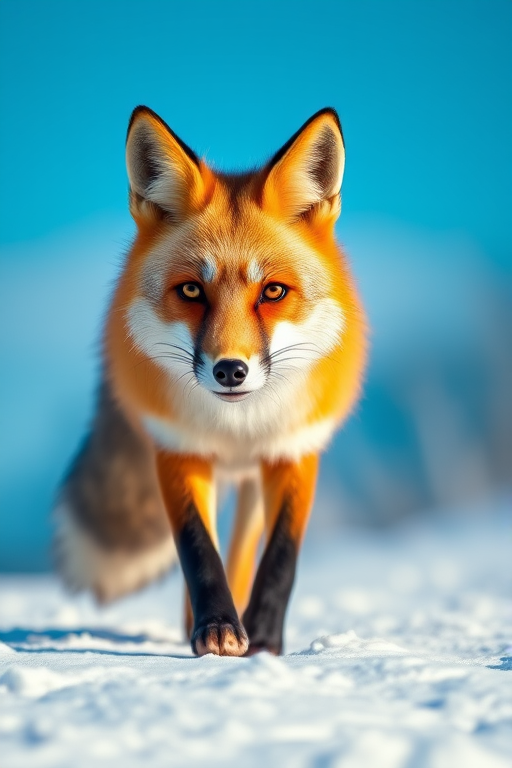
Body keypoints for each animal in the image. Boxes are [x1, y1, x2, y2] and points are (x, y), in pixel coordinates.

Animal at [54, 106, 367, 657]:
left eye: (273, 292)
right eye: (192, 291)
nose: (230, 370)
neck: (236, 425)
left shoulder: (294, 449)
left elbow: (281, 556)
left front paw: (263, 639)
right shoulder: (178, 449)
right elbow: (197, 548)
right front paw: (217, 626)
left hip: (253, 480)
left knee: (243, 551)